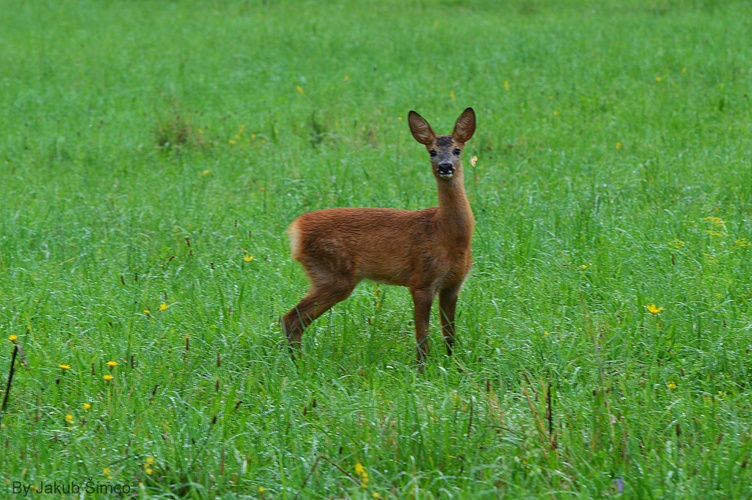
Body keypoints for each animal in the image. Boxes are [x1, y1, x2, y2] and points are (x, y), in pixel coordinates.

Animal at [282, 107, 476, 370]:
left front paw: (453, 366)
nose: (445, 166)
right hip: (333, 274)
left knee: (294, 319)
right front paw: (421, 371)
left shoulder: (453, 285)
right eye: (432, 152)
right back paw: (298, 364)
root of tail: (296, 231)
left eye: (457, 150)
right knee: (291, 318)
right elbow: (422, 336)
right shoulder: (421, 280)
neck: (446, 234)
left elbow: (450, 335)